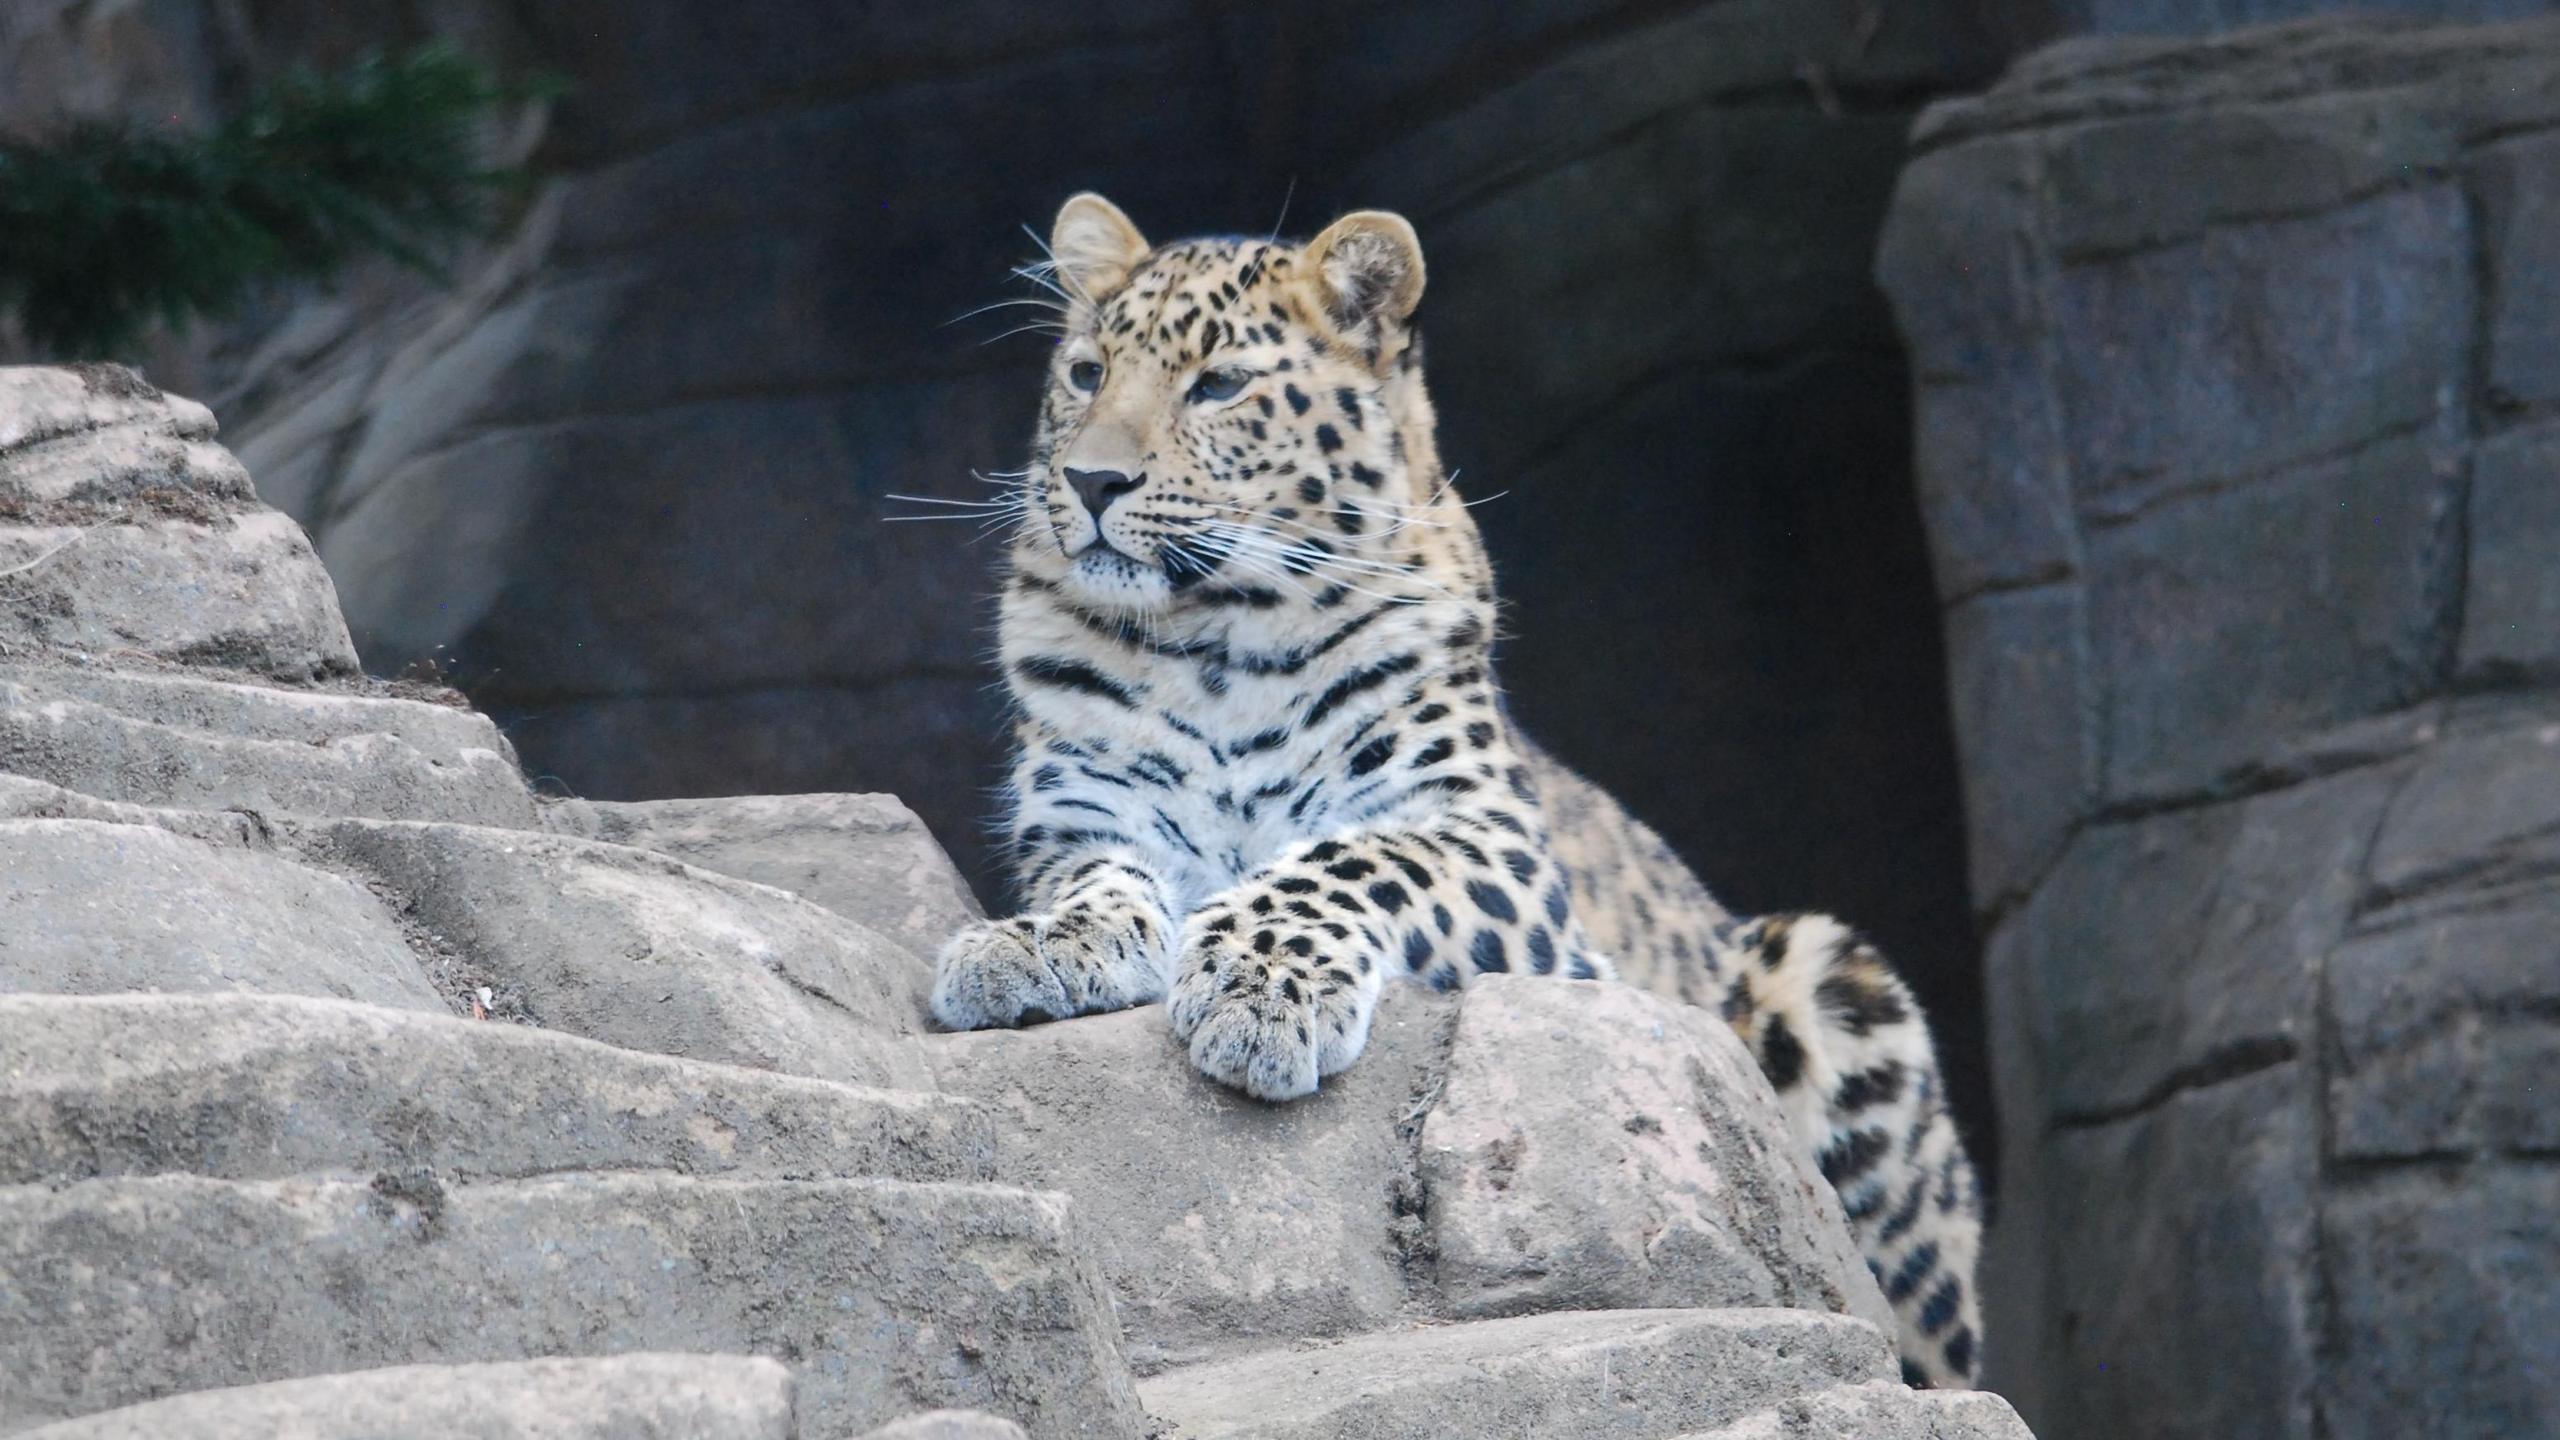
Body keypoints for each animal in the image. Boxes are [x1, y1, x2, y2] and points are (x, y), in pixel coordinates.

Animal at [931, 190, 1986, 1383]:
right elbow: (1098, 882)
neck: (1215, 643)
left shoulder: (1493, 845)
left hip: (1835, 983)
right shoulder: (1083, 818)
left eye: (1219, 384)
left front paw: (1261, 987)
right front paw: (1034, 947)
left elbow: (1351, 855)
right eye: (1085, 373)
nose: (1092, 482)